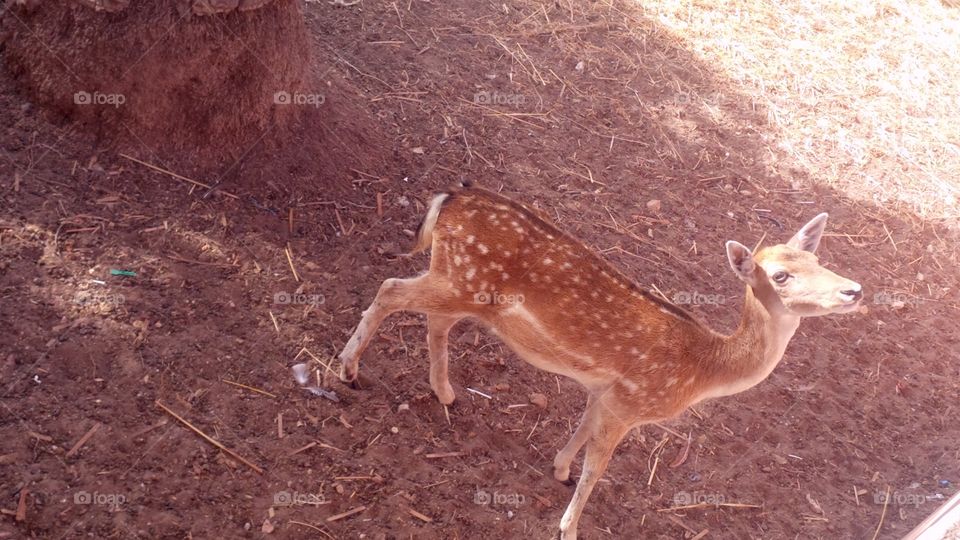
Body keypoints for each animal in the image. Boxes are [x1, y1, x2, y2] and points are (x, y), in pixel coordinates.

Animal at [338, 183, 863, 539]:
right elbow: (598, 465)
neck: (700, 371)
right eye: (781, 275)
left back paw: (444, 392)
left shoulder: (604, 390)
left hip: (460, 284)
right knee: (391, 288)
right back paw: (349, 371)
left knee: (434, 319)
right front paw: (568, 527)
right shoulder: (630, 403)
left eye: (818, 261)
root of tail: (448, 199)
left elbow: (582, 429)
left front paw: (559, 469)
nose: (854, 290)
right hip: (461, 280)